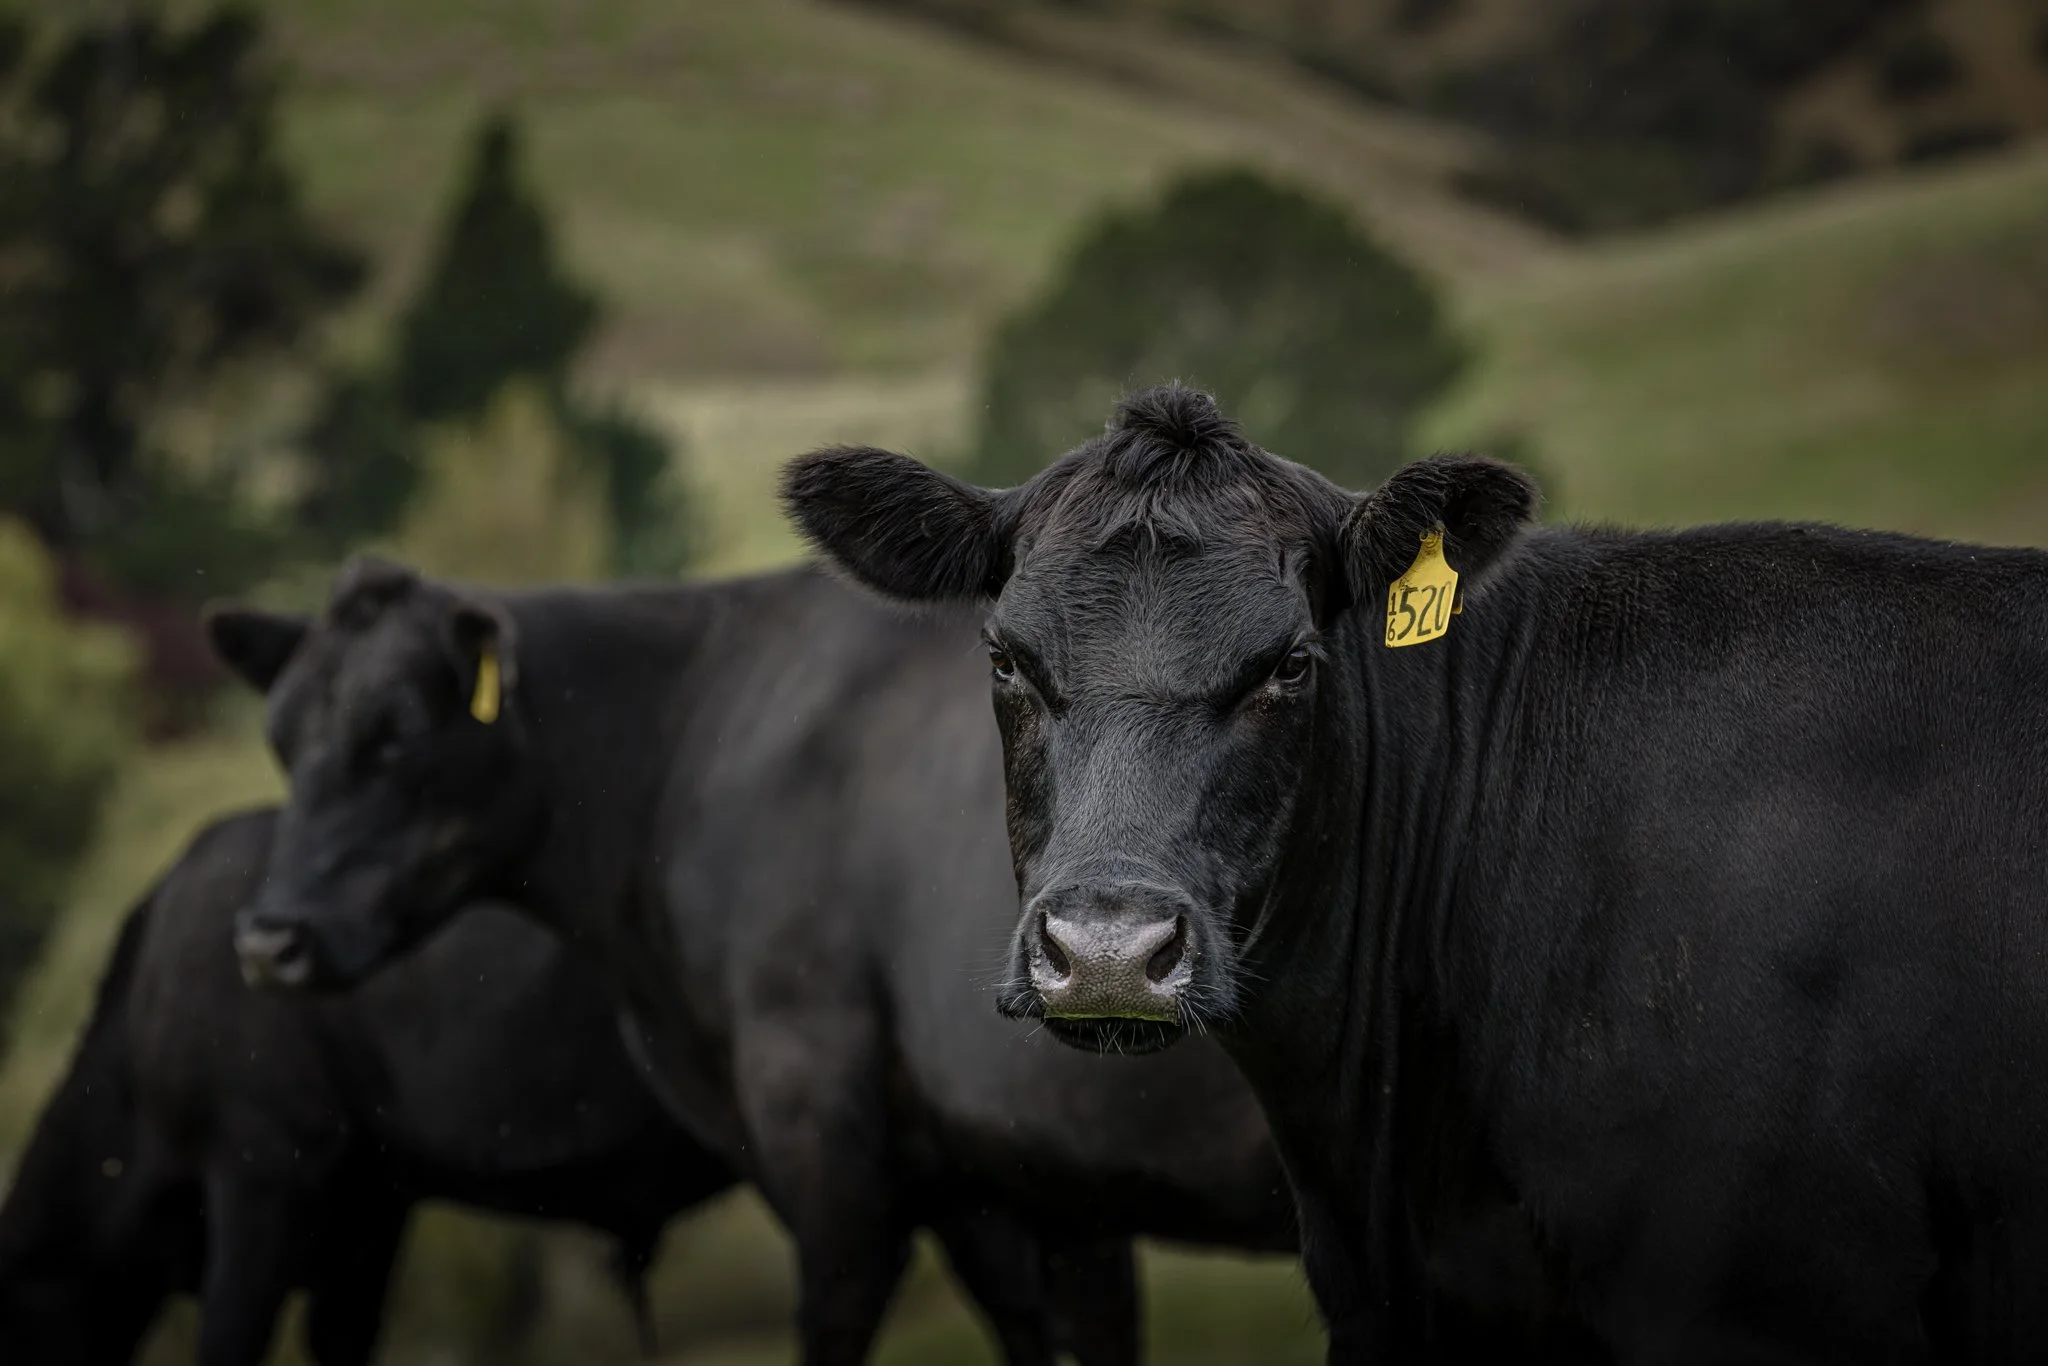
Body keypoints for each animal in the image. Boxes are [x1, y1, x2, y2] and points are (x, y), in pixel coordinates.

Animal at [204, 557, 1297, 1366]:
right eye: (281, 739)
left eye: (395, 733)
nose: (267, 940)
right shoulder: (996, 1173)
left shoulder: (819, 1118)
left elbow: (837, 1315)